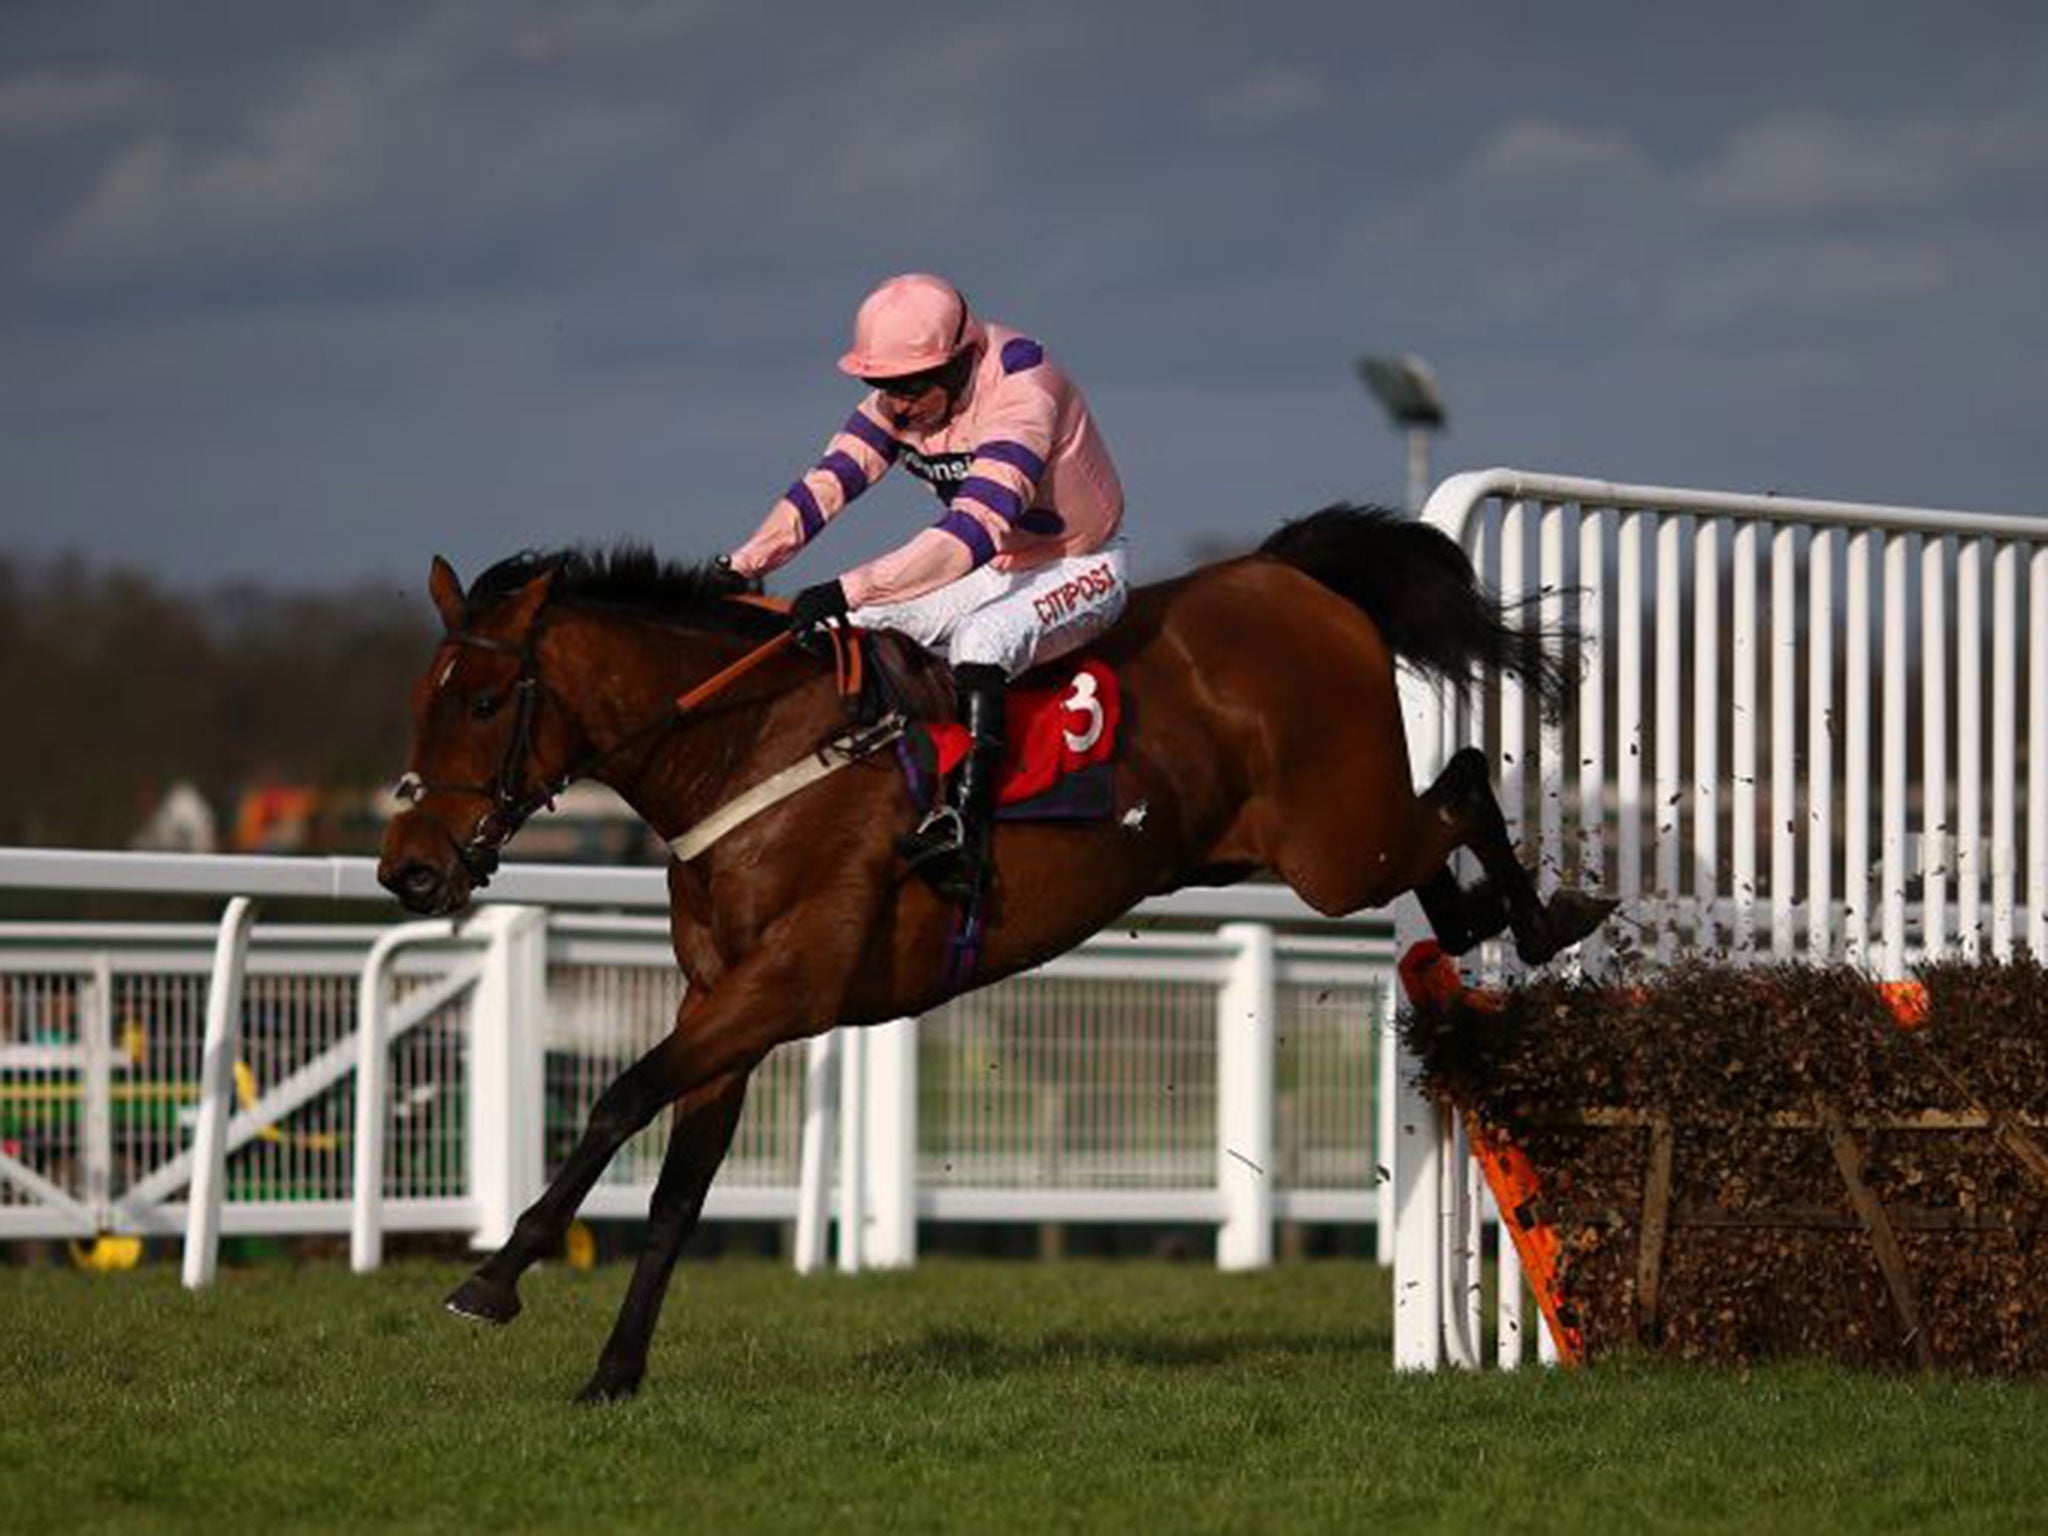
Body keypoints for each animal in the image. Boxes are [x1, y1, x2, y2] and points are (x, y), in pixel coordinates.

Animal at [376, 507, 1605, 1409]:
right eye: (419, 702)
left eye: (481, 700)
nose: (409, 872)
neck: (752, 750)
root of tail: (1285, 574)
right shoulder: (726, 1003)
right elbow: (678, 1189)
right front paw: (614, 1372)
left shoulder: (789, 984)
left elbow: (617, 1097)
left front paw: (492, 1277)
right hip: (1311, 847)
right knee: (1443, 843)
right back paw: (1483, 929)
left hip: (1335, 849)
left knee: (1460, 783)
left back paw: (1550, 915)